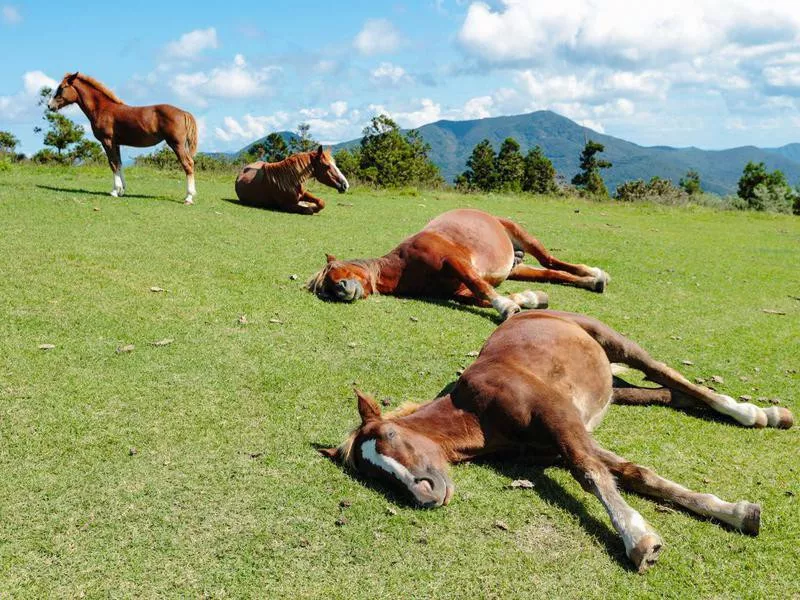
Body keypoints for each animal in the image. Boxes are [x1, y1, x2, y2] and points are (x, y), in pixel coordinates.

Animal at [48, 71, 198, 204]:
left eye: (61, 88)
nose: (50, 105)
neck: (102, 109)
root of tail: (183, 113)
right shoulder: (117, 143)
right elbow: (119, 164)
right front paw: (122, 190)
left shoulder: (107, 141)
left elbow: (113, 164)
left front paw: (115, 191)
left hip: (176, 144)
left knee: (188, 164)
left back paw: (189, 198)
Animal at [310, 206, 608, 318]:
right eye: (325, 289)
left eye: (334, 270)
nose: (340, 290)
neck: (404, 265)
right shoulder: (456, 291)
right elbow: (480, 296)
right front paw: (530, 299)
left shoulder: (455, 262)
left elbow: (480, 286)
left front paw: (506, 307)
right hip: (517, 269)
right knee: (552, 273)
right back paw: (592, 281)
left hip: (523, 236)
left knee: (551, 260)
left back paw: (595, 273)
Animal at [320, 312, 792, 576]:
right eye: (376, 476)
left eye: (391, 436)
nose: (425, 494)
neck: (478, 411)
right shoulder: (559, 442)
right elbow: (633, 473)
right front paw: (737, 512)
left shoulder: (561, 422)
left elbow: (591, 473)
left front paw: (639, 541)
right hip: (611, 389)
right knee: (667, 394)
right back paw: (767, 414)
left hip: (617, 344)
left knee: (672, 377)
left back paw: (754, 414)